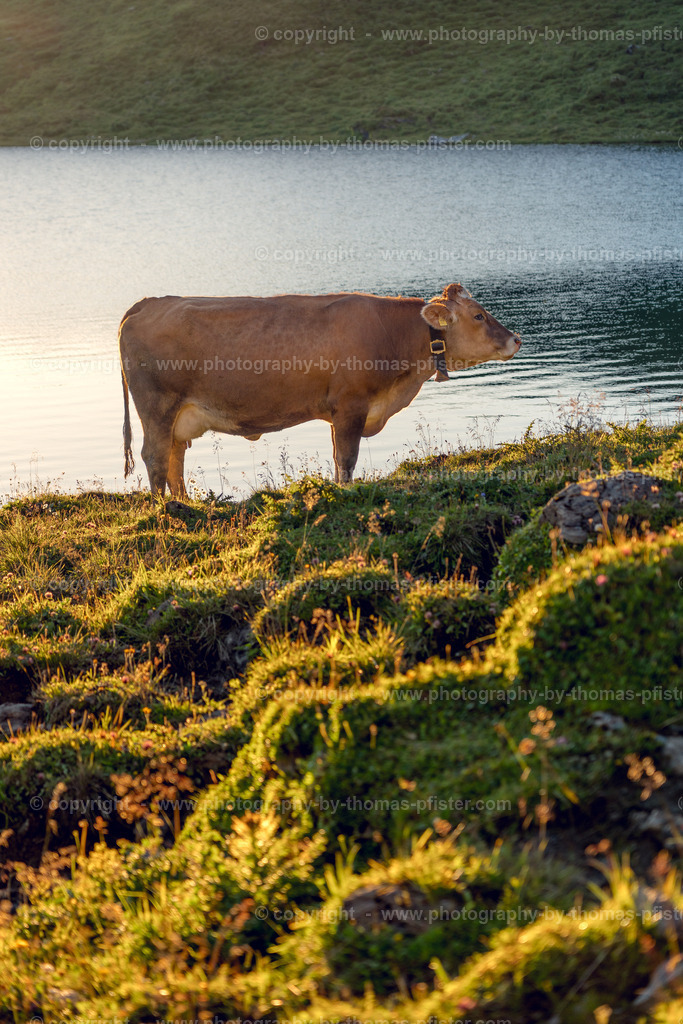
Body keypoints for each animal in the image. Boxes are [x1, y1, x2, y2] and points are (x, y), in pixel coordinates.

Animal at [118, 283, 520, 496]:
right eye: (479, 315)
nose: (515, 338)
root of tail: (147, 303)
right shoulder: (351, 405)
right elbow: (347, 458)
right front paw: (346, 493)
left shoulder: (337, 412)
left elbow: (337, 456)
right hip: (157, 406)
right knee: (155, 456)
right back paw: (164, 508)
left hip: (176, 415)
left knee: (174, 458)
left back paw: (185, 503)